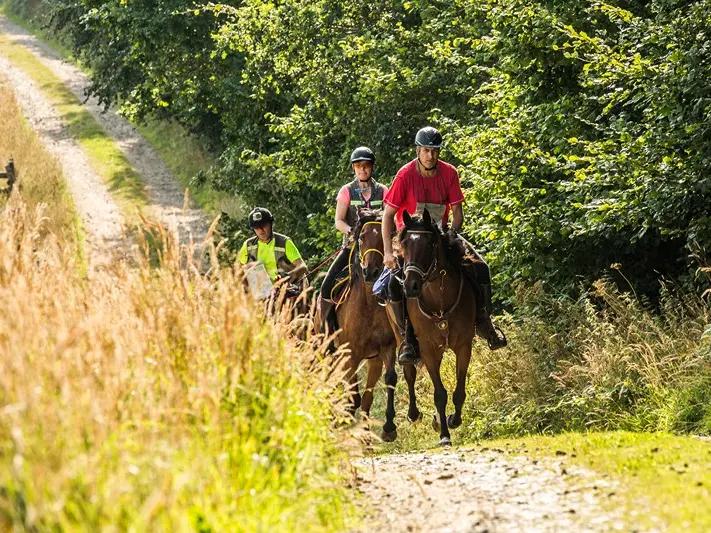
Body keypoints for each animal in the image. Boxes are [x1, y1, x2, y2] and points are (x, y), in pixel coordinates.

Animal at [318, 208, 400, 440]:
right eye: (361, 237)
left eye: (383, 239)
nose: (370, 272)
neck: (368, 306)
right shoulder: (350, 354)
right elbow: (352, 394)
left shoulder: (386, 349)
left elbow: (388, 380)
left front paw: (388, 428)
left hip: (371, 359)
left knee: (365, 397)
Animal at [398, 208, 476, 444]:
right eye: (404, 244)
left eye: (429, 244)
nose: (410, 286)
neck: (439, 301)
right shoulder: (428, 348)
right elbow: (439, 393)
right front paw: (444, 435)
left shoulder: (464, 346)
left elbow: (459, 390)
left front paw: (452, 420)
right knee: (409, 372)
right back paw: (414, 414)